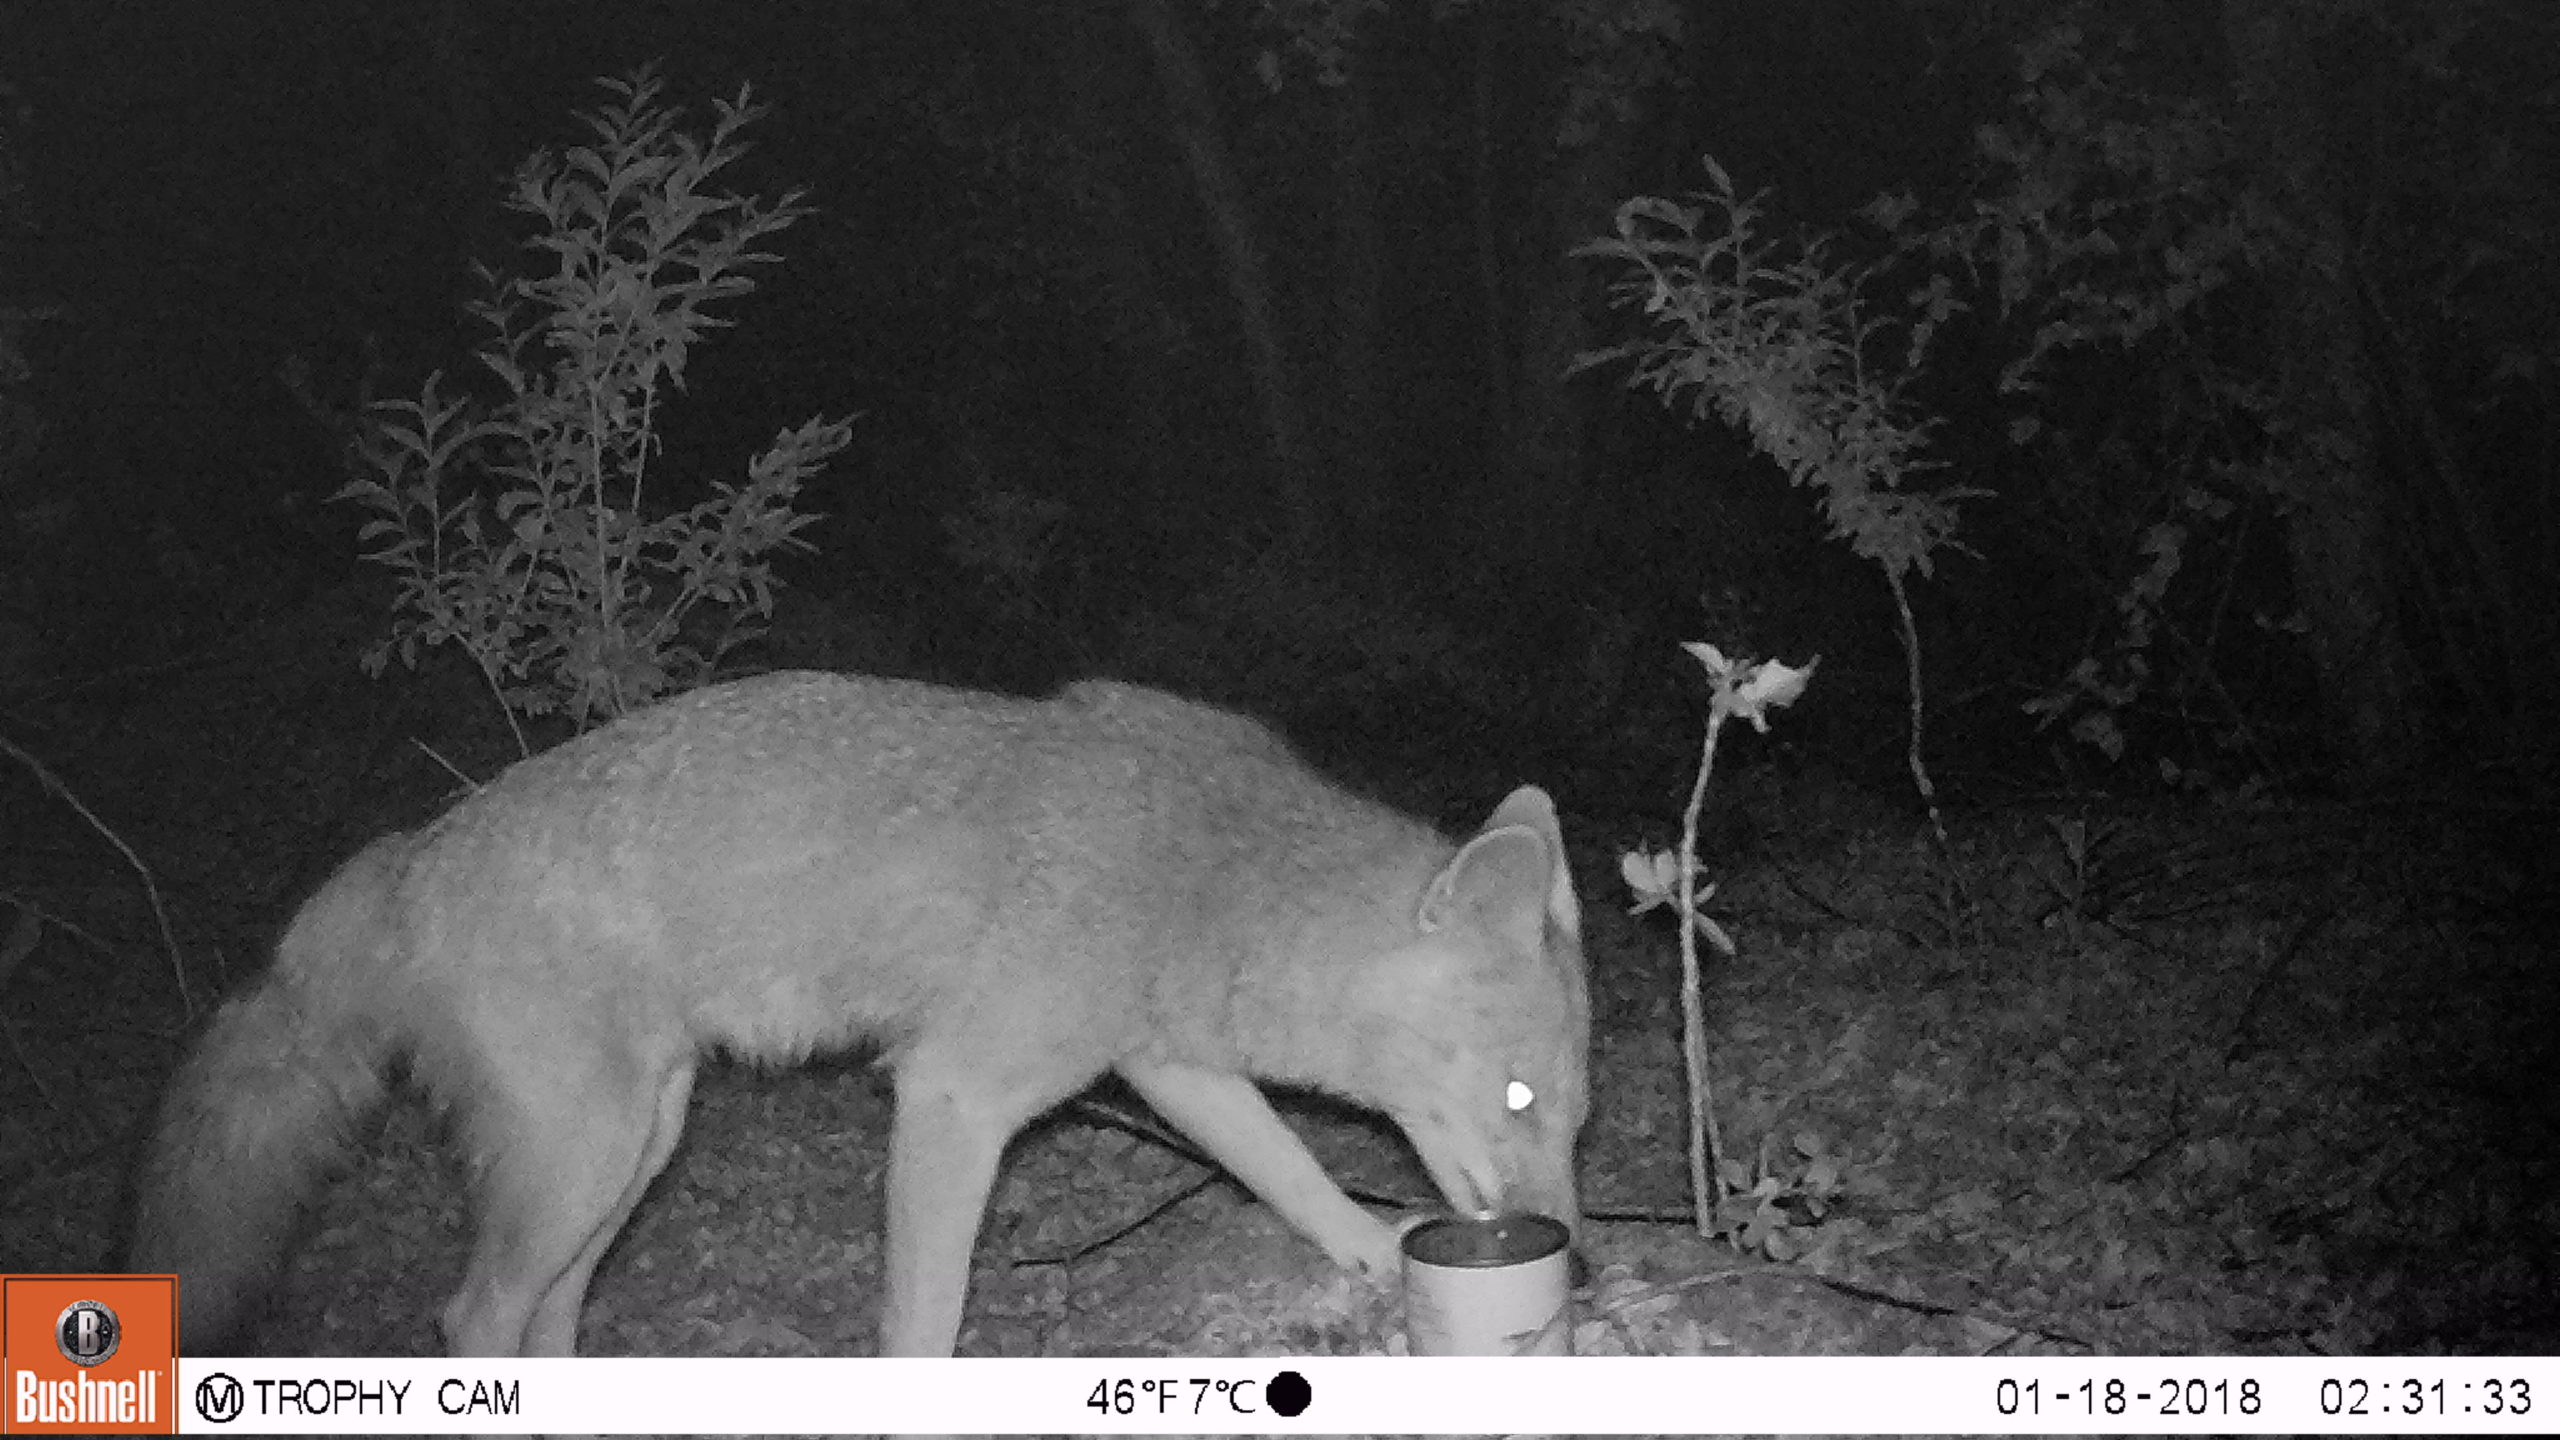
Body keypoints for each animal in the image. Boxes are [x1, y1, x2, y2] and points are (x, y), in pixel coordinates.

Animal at [128, 671, 1589, 1357]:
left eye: (1575, 1121)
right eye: (1520, 1103)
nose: (1569, 1244)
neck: (1204, 867)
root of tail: (413, 853)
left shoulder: (1170, 1069)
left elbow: (1292, 1177)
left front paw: (1366, 1249)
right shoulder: (953, 1096)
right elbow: (923, 1318)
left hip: (628, 1158)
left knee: (542, 1318)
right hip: (585, 1164)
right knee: (469, 1320)